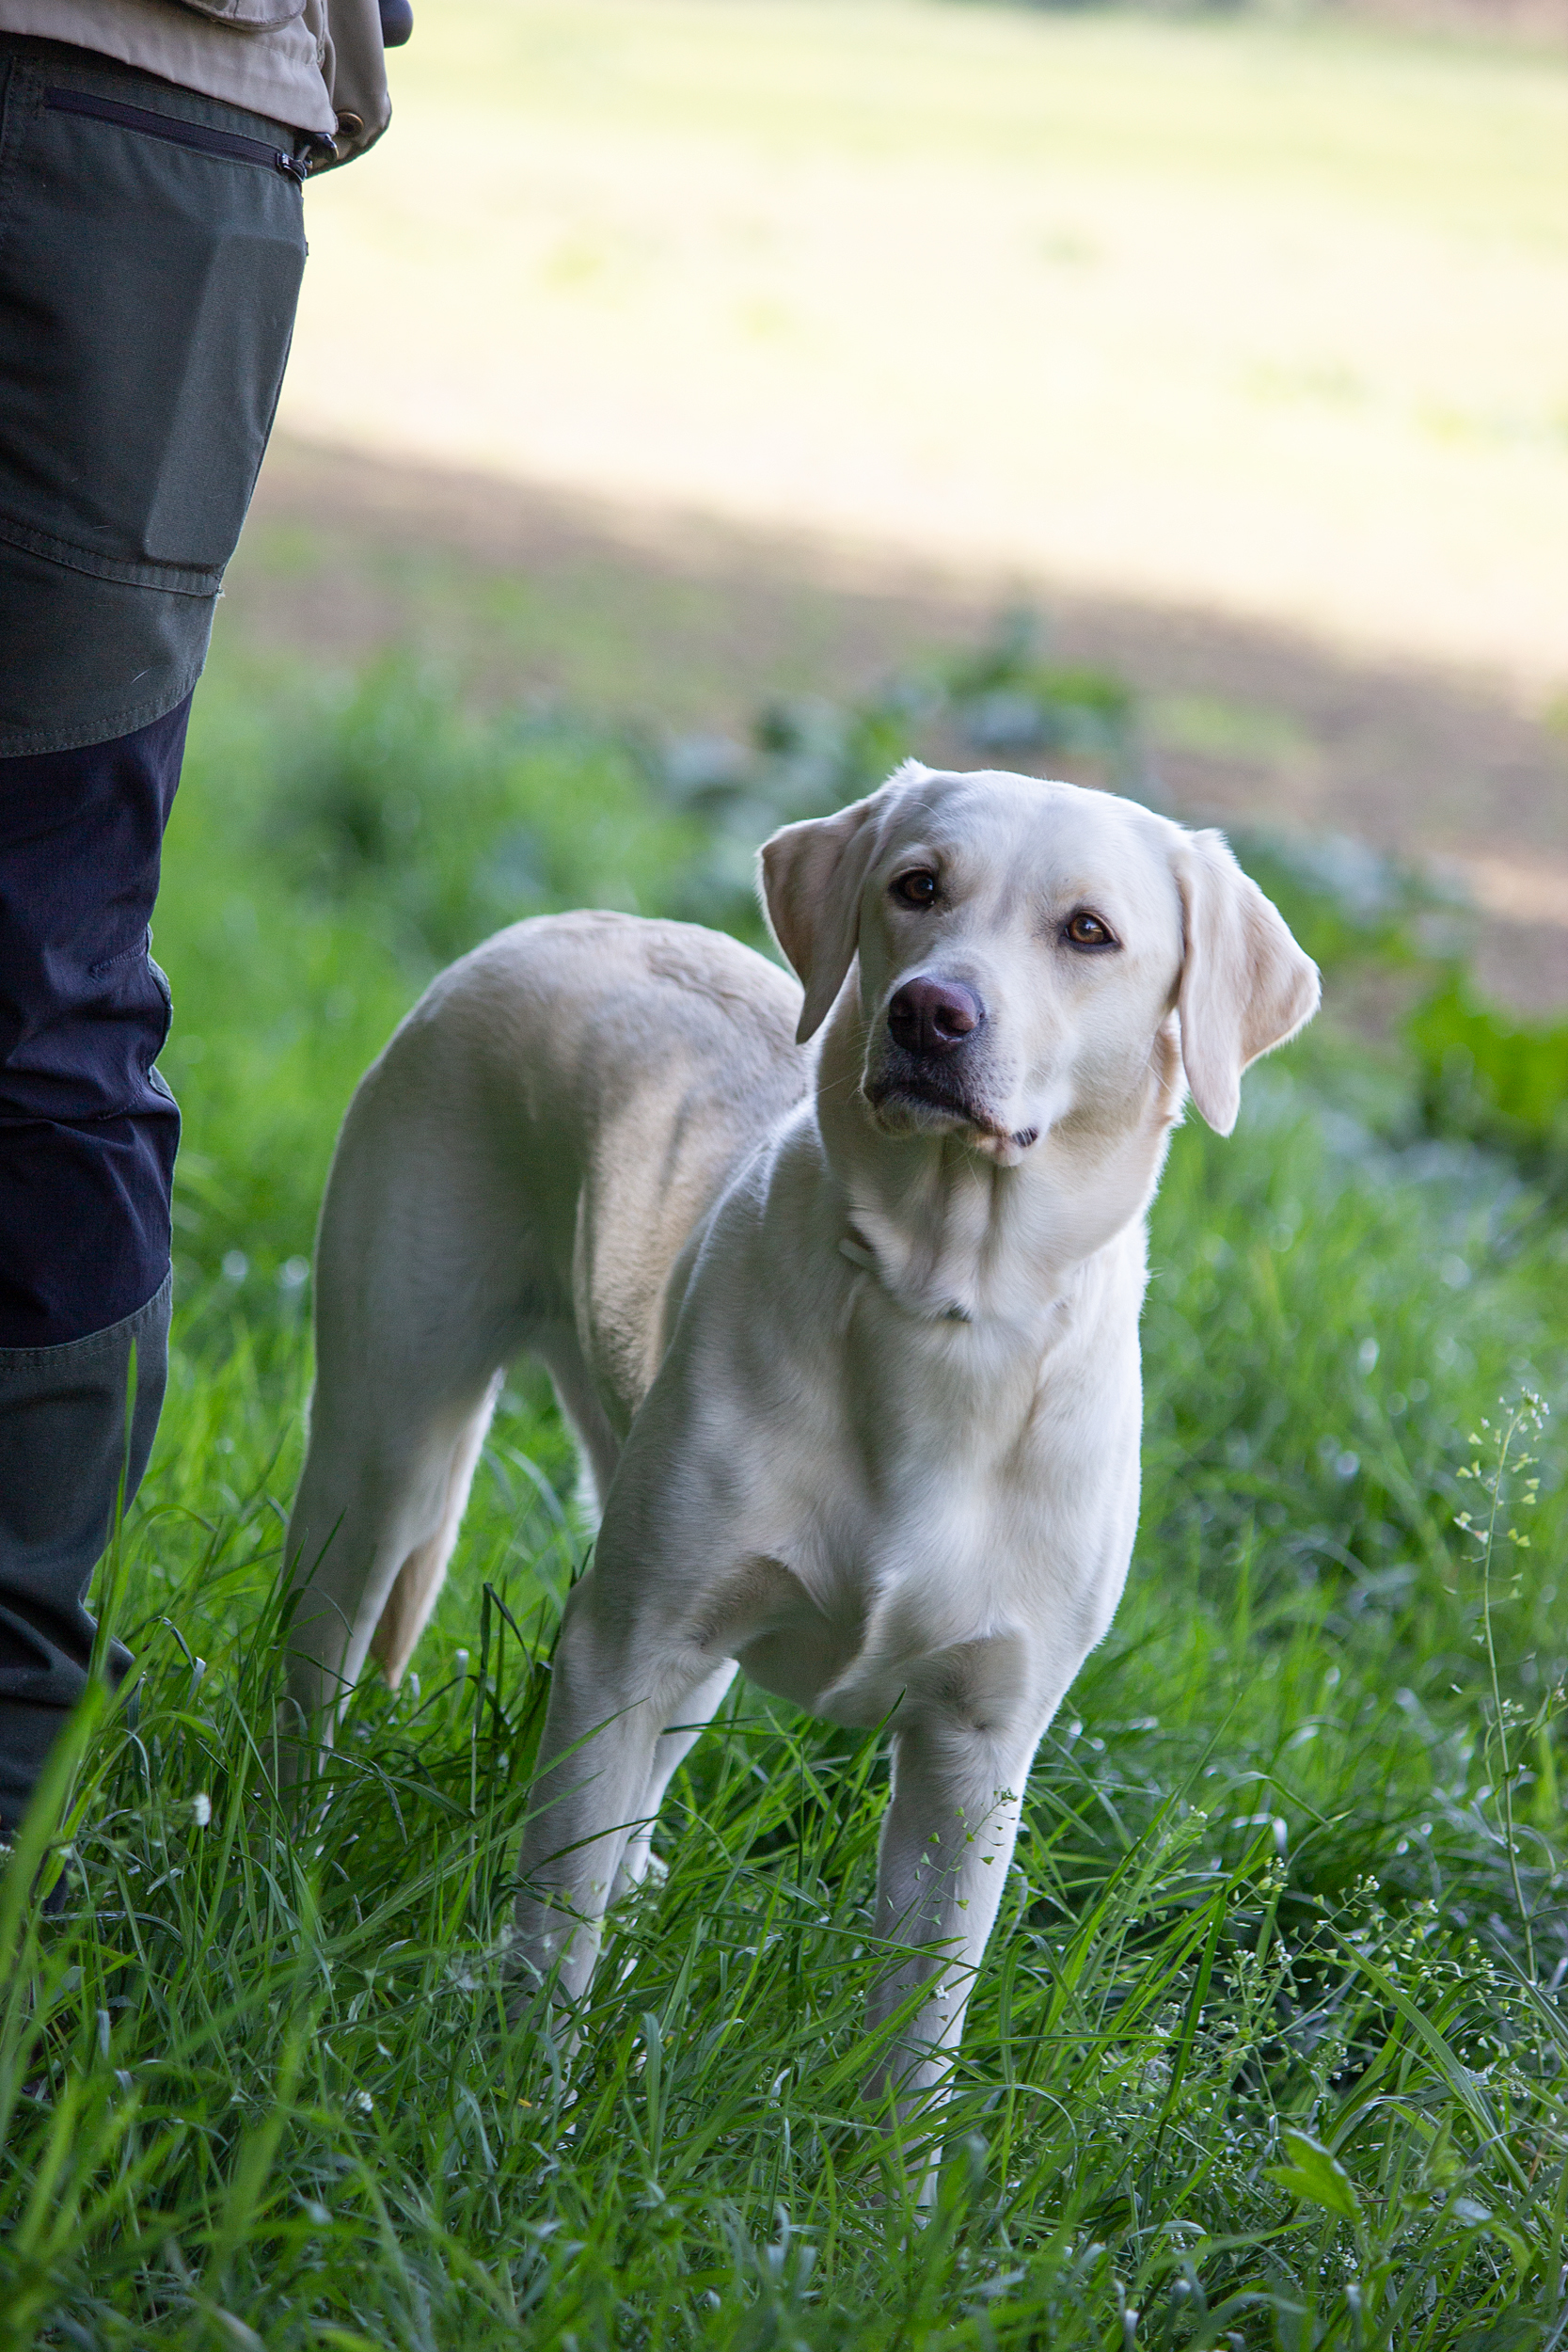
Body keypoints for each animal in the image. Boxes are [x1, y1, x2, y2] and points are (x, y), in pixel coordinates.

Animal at [285, 767, 1325, 2117]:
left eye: (1087, 931)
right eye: (916, 886)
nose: (928, 1011)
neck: (940, 1303)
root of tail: (554, 923)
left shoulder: (972, 1752)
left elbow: (917, 2031)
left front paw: (887, 2174)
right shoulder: (620, 1650)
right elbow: (553, 1934)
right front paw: (528, 2113)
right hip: (390, 1450)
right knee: (323, 1658)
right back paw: (280, 1843)